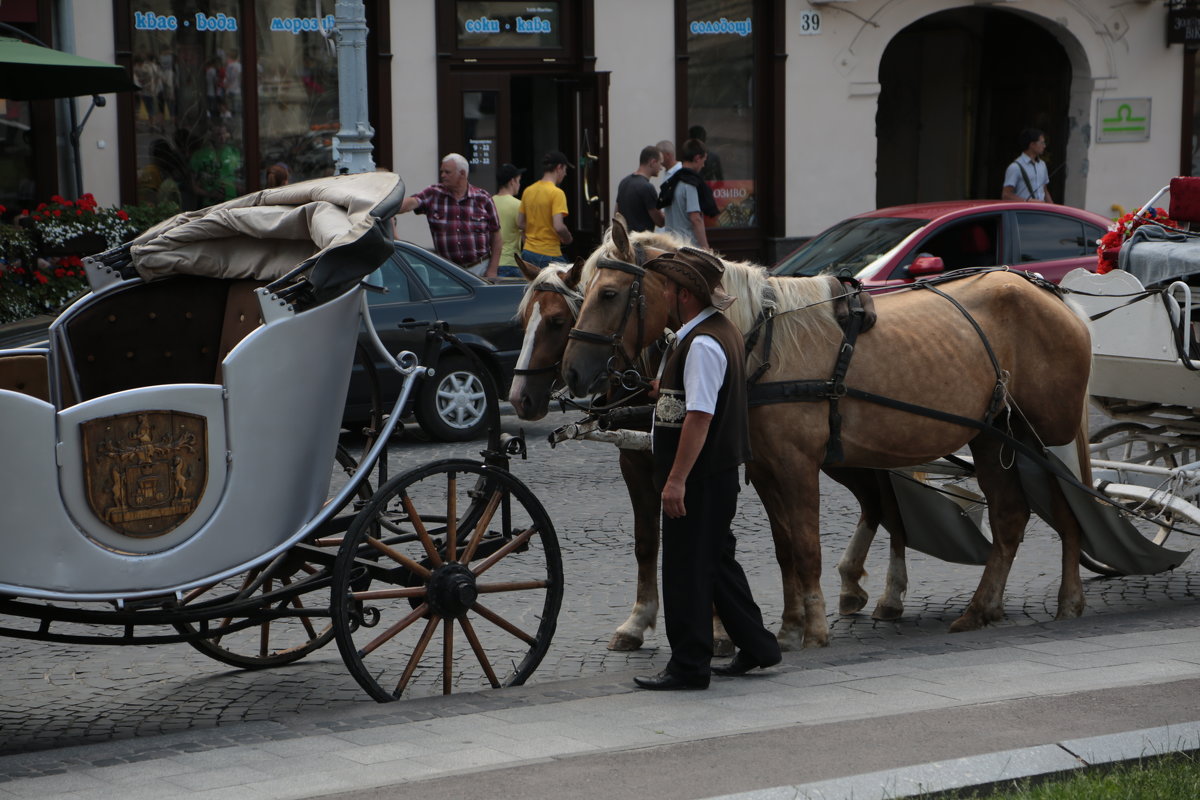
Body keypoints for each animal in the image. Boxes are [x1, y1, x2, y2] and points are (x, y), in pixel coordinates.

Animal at [511, 227, 921, 652]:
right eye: (523, 320)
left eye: (557, 320)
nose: (519, 397)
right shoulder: (636, 463)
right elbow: (646, 541)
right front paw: (638, 621)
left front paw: (717, 629)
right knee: (875, 502)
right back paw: (853, 584)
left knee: (890, 506)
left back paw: (891, 593)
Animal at [561, 239, 1099, 652]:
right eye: (581, 294)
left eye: (608, 293)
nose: (572, 373)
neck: (763, 340)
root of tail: (1050, 291)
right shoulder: (767, 468)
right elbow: (784, 548)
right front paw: (789, 625)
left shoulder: (798, 467)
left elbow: (806, 547)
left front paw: (815, 629)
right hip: (991, 438)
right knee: (1010, 517)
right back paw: (982, 607)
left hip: (1044, 437)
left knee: (1069, 507)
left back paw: (1069, 598)